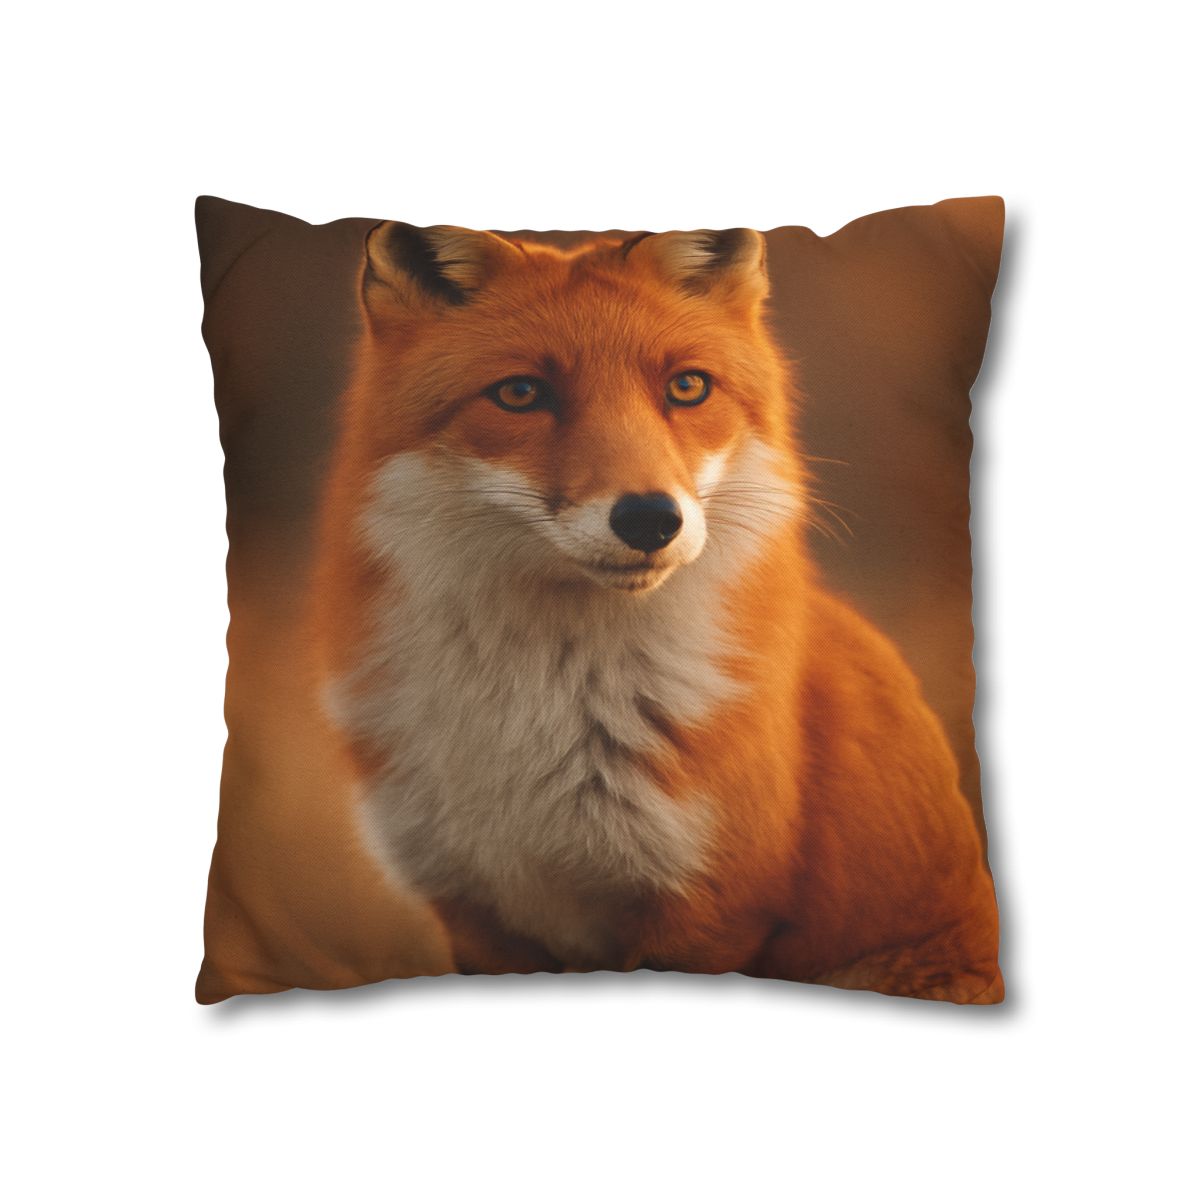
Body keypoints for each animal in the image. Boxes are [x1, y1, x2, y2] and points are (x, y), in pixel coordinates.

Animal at [314, 220, 1003, 1004]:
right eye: (520, 393)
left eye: (687, 386)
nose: (649, 519)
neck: (541, 714)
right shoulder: (474, 912)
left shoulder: (713, 907)